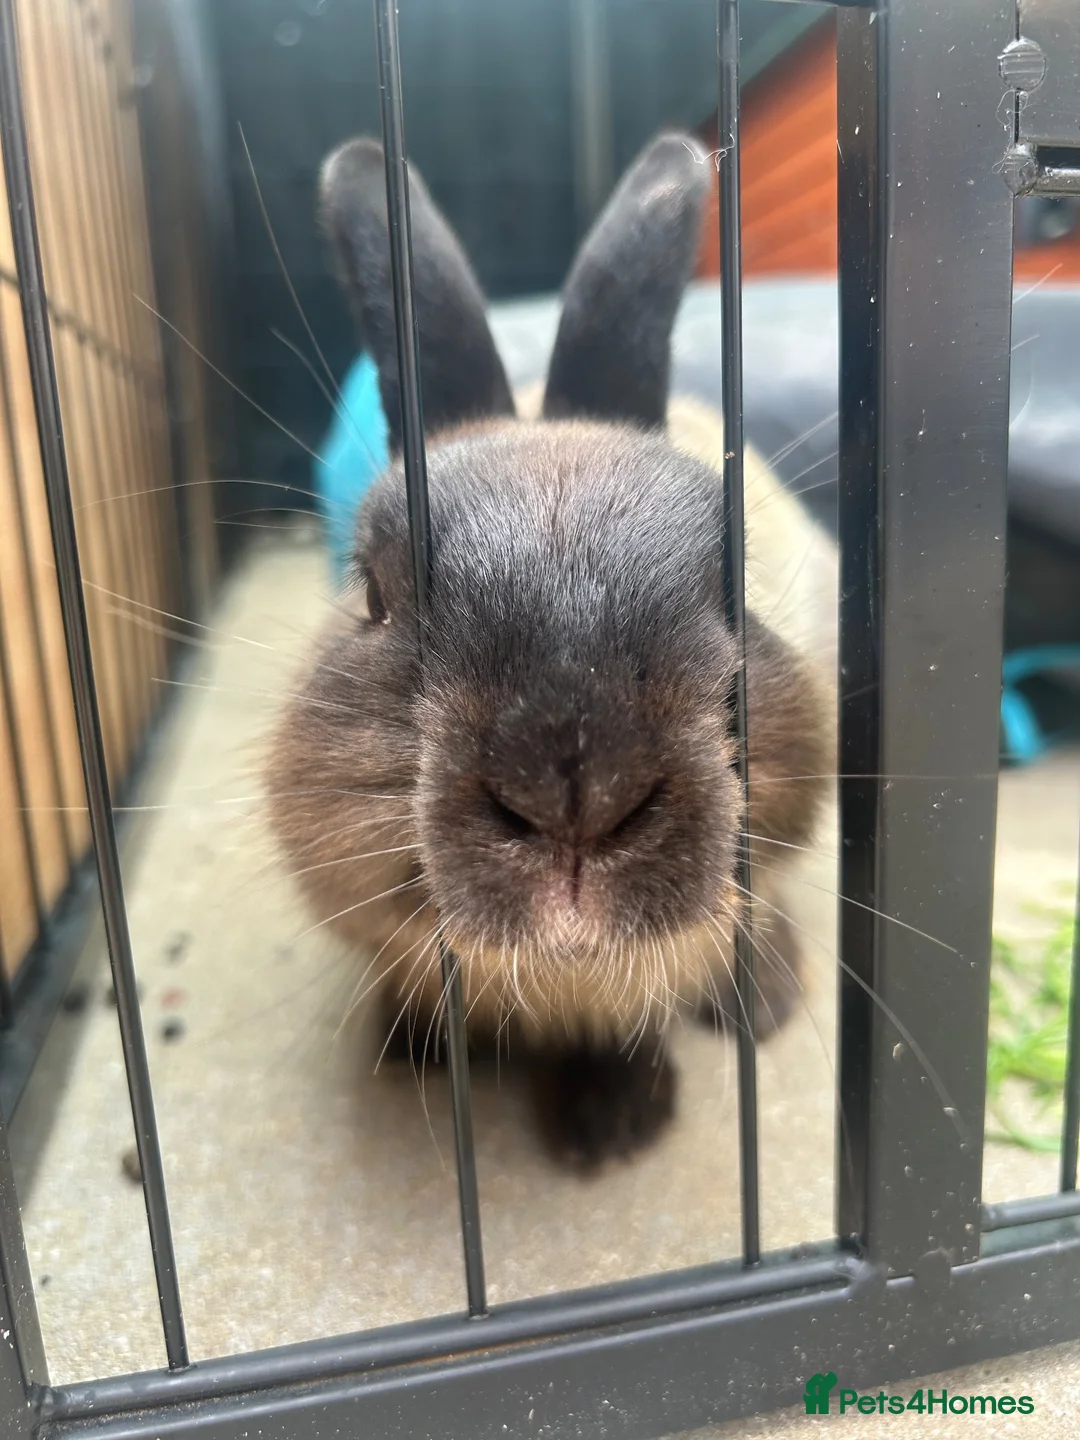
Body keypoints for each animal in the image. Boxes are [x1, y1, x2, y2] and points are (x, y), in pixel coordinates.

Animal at [265, 130, 836, 1172]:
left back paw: (767, 1002)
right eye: (373, 593)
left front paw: (612, 1130)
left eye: (734, 586)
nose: (580, 795)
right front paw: (418, 1048)